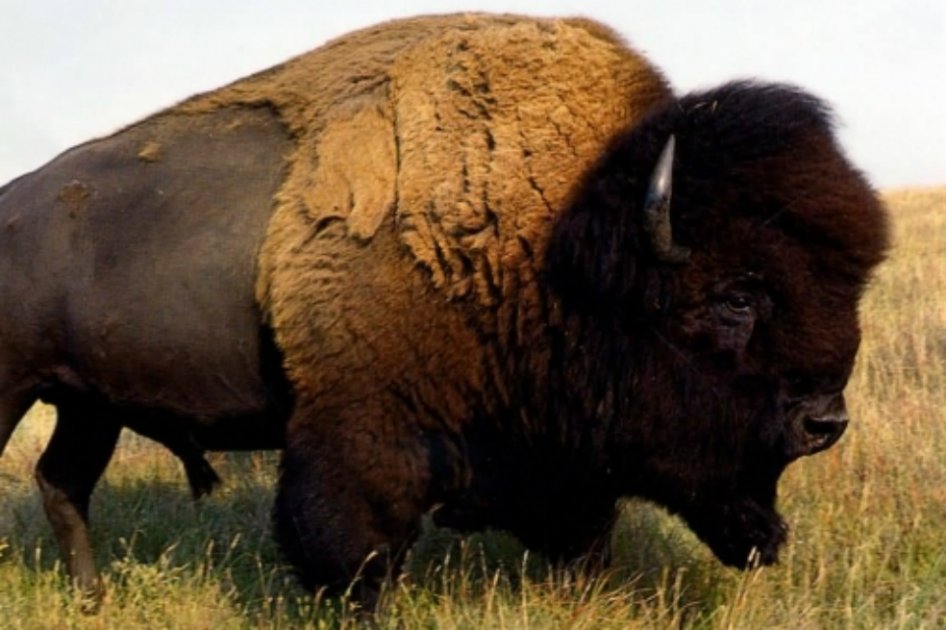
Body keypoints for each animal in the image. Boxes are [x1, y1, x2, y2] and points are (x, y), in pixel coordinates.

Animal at [0, 13, 888, 611]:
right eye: (736, 294)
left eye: (846, 289)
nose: (825, 421)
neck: (558, 238)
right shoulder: (359, 442)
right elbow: (353, 554)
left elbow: (584, 537)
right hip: (19, 390)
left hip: (88, 405)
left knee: (62, 483)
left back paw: (93, 600)